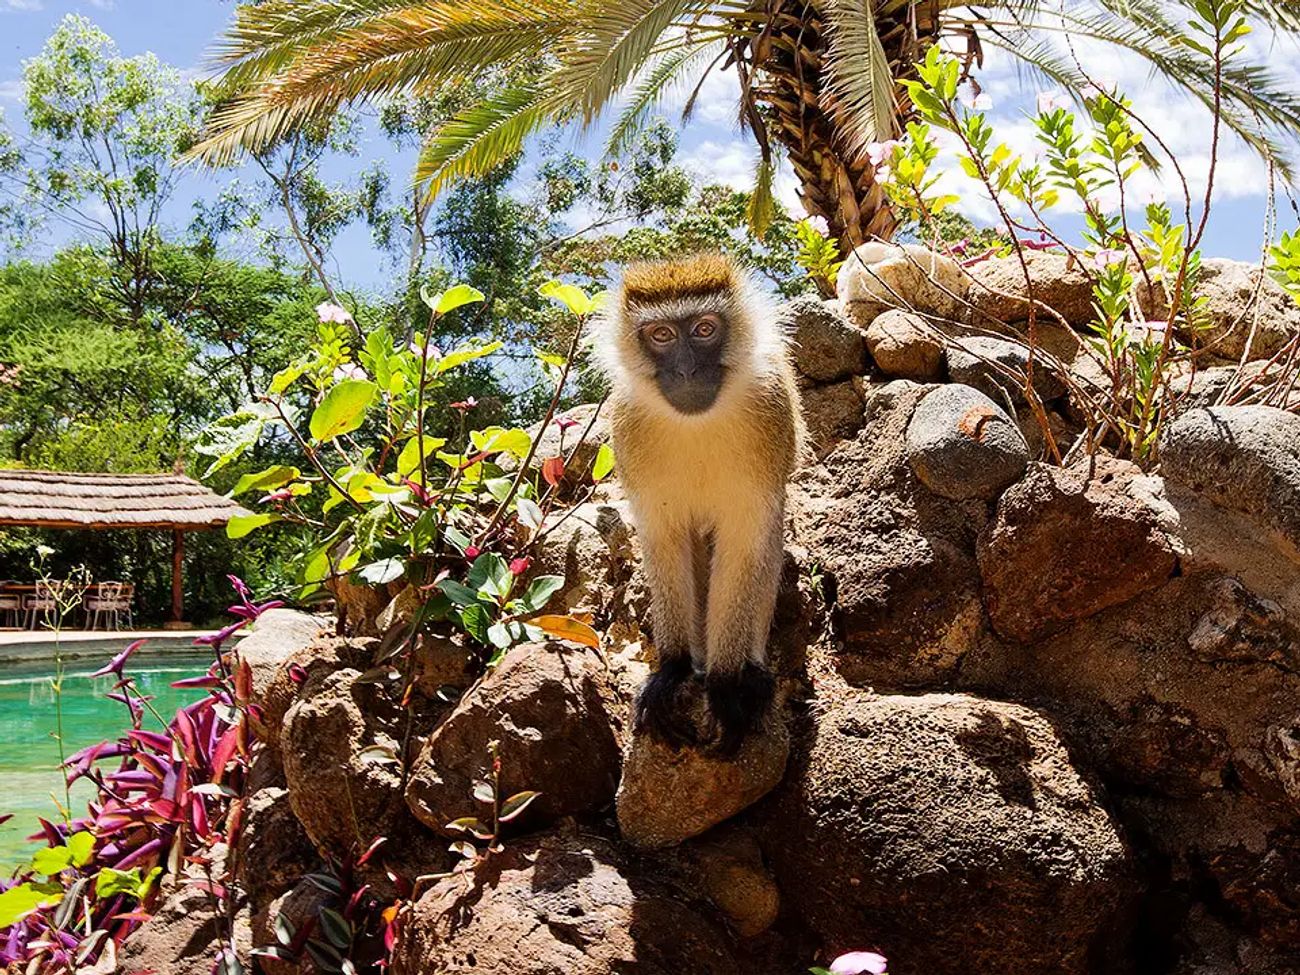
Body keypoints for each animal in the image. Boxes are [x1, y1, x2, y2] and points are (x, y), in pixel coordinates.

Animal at [594, 253, 805, 756]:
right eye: (662, 335)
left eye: (705, 329)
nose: (687, 371)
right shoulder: (627, 425)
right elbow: (664, 540)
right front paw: (671, 668)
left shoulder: (770, 410)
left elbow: (745, 544)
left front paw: (726, 684)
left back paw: (749, 671)